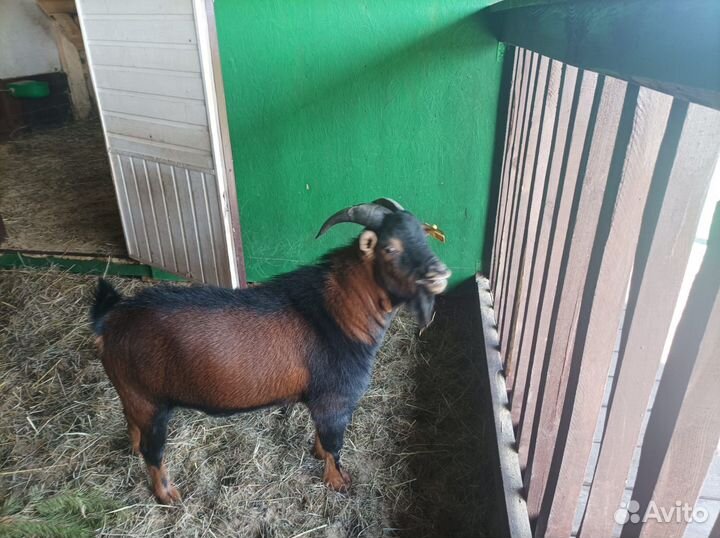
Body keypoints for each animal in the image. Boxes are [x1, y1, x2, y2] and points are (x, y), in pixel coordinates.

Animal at [90, 198, 450, 503]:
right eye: (390, 247)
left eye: (423, 238)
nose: (439, 274)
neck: (337, 314)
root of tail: (110, 321)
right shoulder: (336, 400)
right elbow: (335, 445)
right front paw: (338, 481)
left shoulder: (320, 402)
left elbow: (322, 439)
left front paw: (317, 454)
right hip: (150, 402)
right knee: (153, 452)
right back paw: (168, 495)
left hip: (132, 394)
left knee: (131, 425)